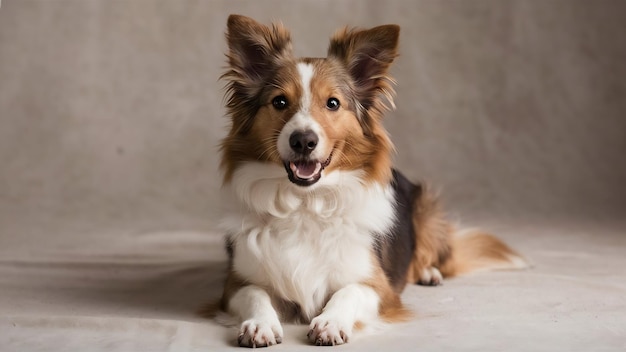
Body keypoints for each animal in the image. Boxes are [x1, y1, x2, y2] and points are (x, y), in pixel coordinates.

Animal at [214, 15, 528, 348]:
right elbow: (255, 294)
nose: (303, 141)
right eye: (279, 102)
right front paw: (259, 324)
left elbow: (348, 291)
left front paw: (330, 321)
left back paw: (429, 272)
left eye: (333, 103)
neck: (306, 203)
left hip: (425, 209)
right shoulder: (235, 285)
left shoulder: (379, 287)